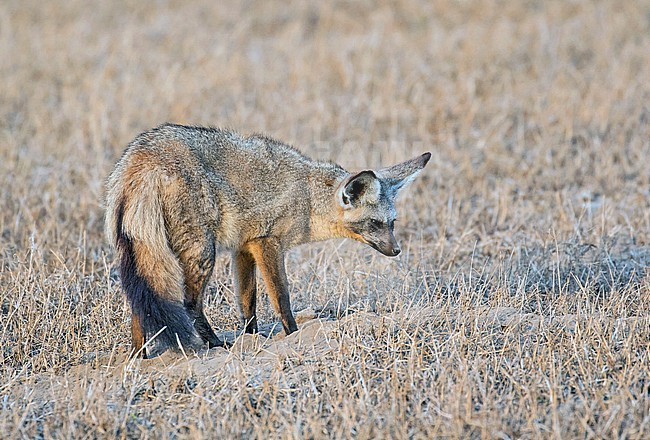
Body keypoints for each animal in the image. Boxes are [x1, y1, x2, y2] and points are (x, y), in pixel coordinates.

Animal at [105, 123, 430, 358]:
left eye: (392, 223)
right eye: (375, 223)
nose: (396, 250)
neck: (308, 197)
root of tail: (141, 157)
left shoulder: (243, 247)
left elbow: (247, 301)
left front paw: (252, 337)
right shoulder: (267, 243)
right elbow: (281, 298)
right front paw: (292, 334)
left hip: (147, 254)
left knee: (142, 304)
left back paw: (138, 357)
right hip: (202, 254)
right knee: (188, 304)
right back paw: (212, 343)